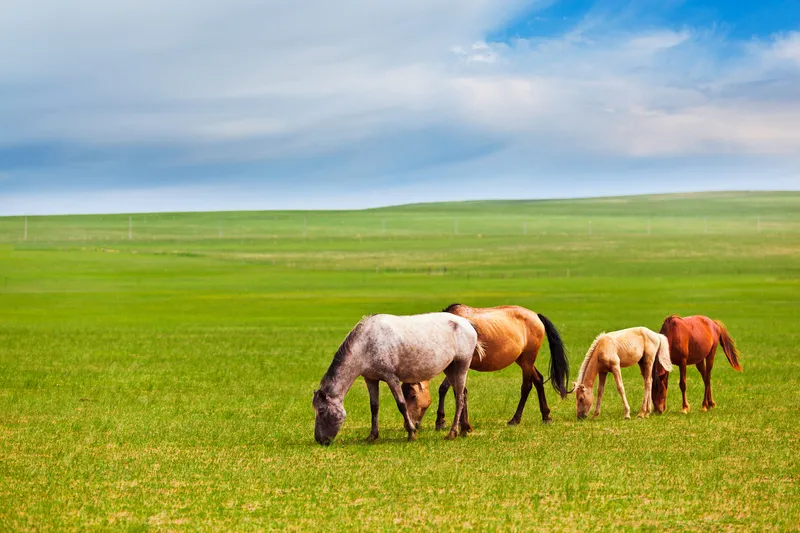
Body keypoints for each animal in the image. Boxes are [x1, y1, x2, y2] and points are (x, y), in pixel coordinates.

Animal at [312, 312, 482, 444]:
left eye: (321, 411)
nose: (320, 440)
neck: (366, 344)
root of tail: (467, 323)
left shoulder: (391, 378)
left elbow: (401, 404)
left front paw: (411, 432)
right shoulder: (370, 379)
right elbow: (374, 407)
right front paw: (372, 436)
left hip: (461, 366)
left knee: (459, 399)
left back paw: (452, 433)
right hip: (450, 369)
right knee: (462, 394)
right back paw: (464, 429)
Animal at [406, 304, 568, 428]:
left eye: (413, 396)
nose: (410, 424)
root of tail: (536, 316)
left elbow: (446, 388)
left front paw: (442, 421)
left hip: (528, 359)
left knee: (526, 386)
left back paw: (515, 419)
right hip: (522, 360)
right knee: (538, 380)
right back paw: (546, 416)